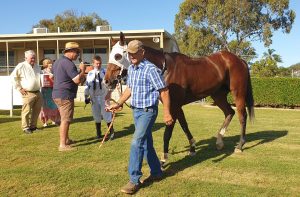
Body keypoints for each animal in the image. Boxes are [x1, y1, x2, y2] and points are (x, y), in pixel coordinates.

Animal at [103, 31, 253, 162]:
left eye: (118, 56)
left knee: (242, 115)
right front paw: (192, 148)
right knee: (229, 112)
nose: (107, 81)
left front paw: (164, 157)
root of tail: (239, 60)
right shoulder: (177, 106)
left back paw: (240, 145)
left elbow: (168, 133)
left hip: (238, 93)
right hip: (218, 95)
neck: (165, 68)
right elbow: (184, 125)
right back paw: (220, 141)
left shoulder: (173, 106)